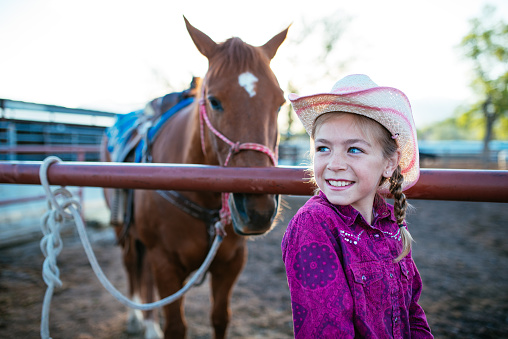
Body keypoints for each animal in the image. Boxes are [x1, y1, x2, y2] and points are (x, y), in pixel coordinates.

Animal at [101, 17, 288, 338]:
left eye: (279, 103)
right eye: (214, 101)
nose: (257, 209)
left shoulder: (231, 262)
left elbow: (220, 318)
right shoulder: (165, 263)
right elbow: (176, 325)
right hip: (124, 233)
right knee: (132, 266)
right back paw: (138, 320)